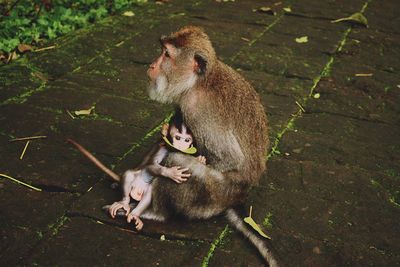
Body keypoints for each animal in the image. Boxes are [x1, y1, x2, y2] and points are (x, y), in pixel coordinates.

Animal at [145, 26, 276, 266]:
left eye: (166, 54)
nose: (151, 65)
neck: (197, 83)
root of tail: (237, 197)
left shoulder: (197, 110)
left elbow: (229, 159)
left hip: (215, 194)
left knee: (177, 161)